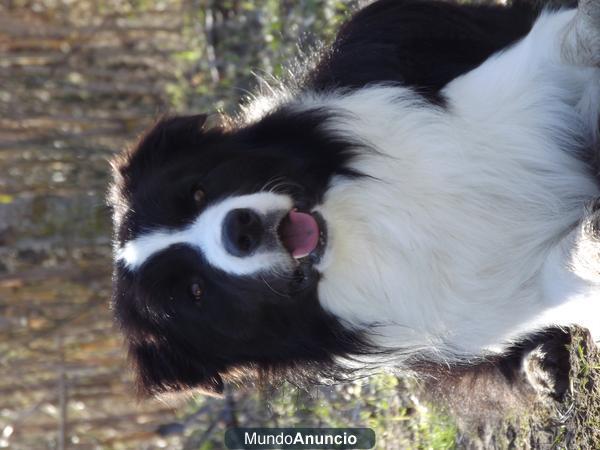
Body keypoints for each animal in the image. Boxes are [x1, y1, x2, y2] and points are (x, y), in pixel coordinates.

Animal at [108, 0, 600, 398]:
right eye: (196, 292)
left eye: (196, 191)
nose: (240, 229)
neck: (366, 215)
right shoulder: (501, 298)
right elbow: (570, 271)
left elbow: (568, 39)